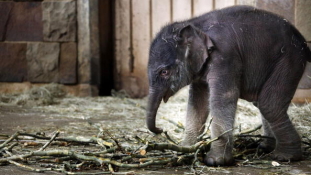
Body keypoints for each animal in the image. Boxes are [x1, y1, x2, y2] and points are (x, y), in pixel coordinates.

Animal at [147, 5, 311, 166]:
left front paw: (215, 161)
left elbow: (222, 98)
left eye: (164, 72)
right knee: (261, 102)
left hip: (289, 60)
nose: (161, 129)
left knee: (269, 104)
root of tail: (301, 39)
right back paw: (266, 147)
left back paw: (285, 157)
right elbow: (198, 102)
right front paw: (184, 149)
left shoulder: (225, 57)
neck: (194, 24)